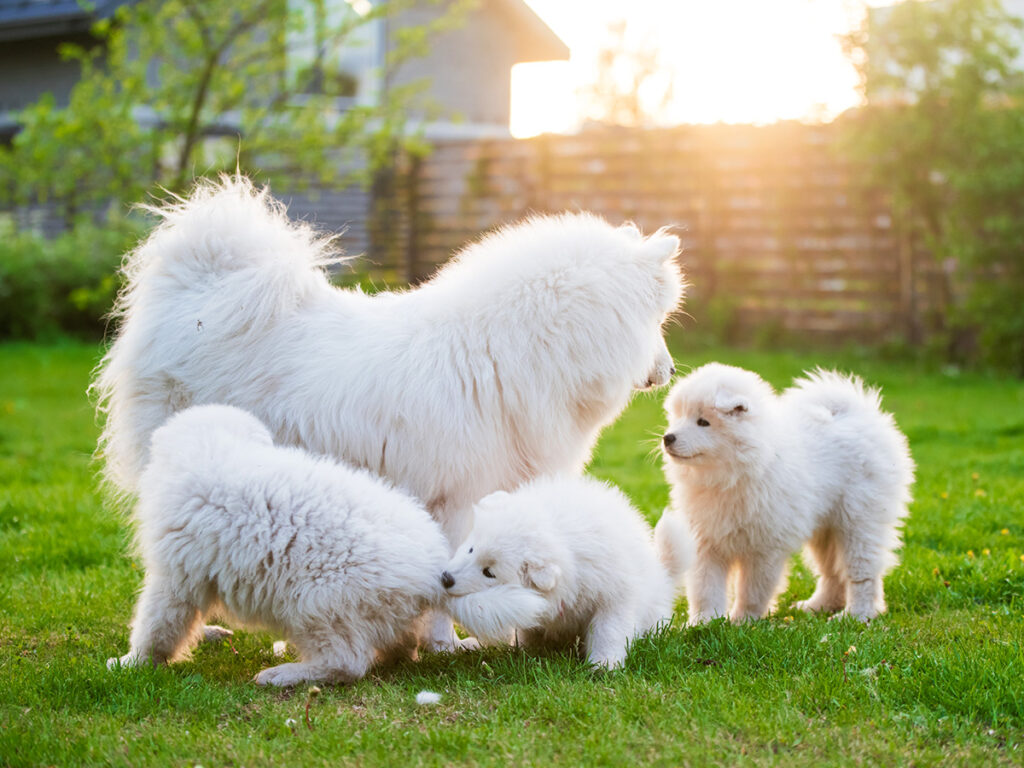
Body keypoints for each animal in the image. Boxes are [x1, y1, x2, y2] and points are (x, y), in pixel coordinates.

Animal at [108, 405, 548, 688]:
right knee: (398, 648)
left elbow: (156, 626)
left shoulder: (176, 577)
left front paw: (131, 663)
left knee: (348, 664)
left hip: (315, 604)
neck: (216, 450)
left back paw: (283, 676)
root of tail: (432, 573)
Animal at [440, 475, 688, 667]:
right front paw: (526, 651)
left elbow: (609, 630)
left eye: (489, 572)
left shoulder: (614, 597)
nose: (446, 579)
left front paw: (604, 665)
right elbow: (530, 631)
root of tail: (664, 575)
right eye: (471, 549)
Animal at [659, 364, 917, 626]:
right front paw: (703, 622)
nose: (668, 438)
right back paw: (816, 606)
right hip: (825, 529)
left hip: (859, 521)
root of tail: (858, 412)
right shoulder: (706, 541)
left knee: (862, 573)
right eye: (679, 417)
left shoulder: (764, 547)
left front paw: (743, 621)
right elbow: (706, 587)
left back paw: (856, 615)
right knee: (831, 572)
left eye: (703, 422)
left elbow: (752, 590)